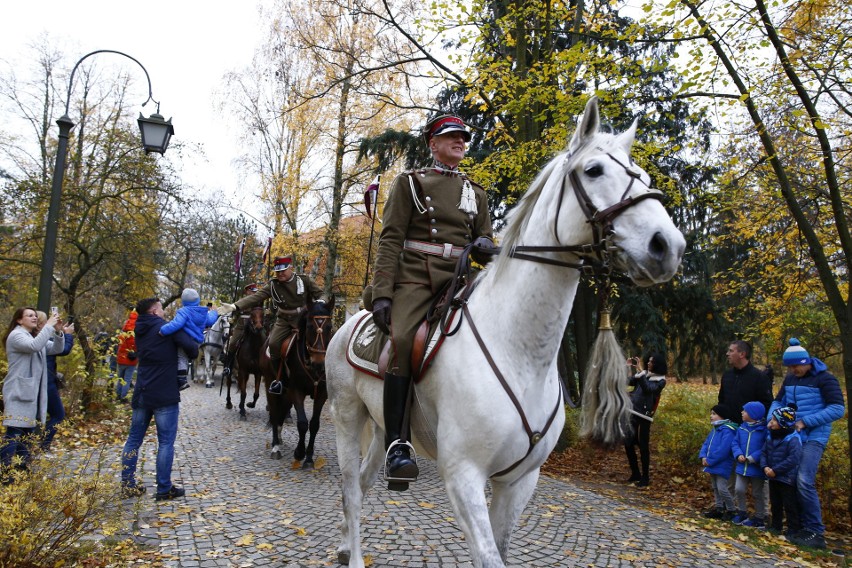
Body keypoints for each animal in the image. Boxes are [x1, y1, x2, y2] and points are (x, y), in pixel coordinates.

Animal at [262, 296, 334, 468]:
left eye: (329, 327)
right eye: (309, 326)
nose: (319, 364)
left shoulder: (321, 394)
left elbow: (314, 424)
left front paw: (309, 458)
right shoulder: (297, 391)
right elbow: (302, 423)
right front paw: (299, 453)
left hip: (286, 393)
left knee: (281, 412)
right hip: (271, 385)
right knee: (274, 412)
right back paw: (275, 446)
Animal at [322, 97, 688, 568]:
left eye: (642, 175)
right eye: (593, 171)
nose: (668, 246)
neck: (521, 353)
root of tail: (350, 320)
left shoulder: (519, 481)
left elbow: (499, 547)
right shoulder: (463, 475)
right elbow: (487, 554)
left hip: (384, 424)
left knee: (365, 482)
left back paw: (345, 541)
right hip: (347, 417)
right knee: (351, 489)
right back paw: (353, 553)